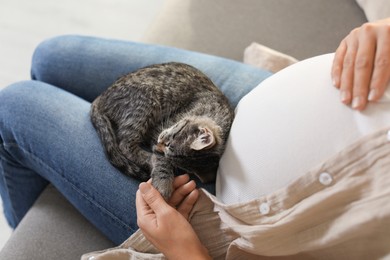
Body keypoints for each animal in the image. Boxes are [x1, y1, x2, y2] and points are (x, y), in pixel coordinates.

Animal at [90, 62, 233, 199]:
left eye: (169, 152)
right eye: (170, 140)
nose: (158, 147)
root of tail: (102, 97)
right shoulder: (160, 128)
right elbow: (160, 160)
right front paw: (163, 182)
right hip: (145, 103)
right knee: (125, 145)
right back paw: (150, 158)